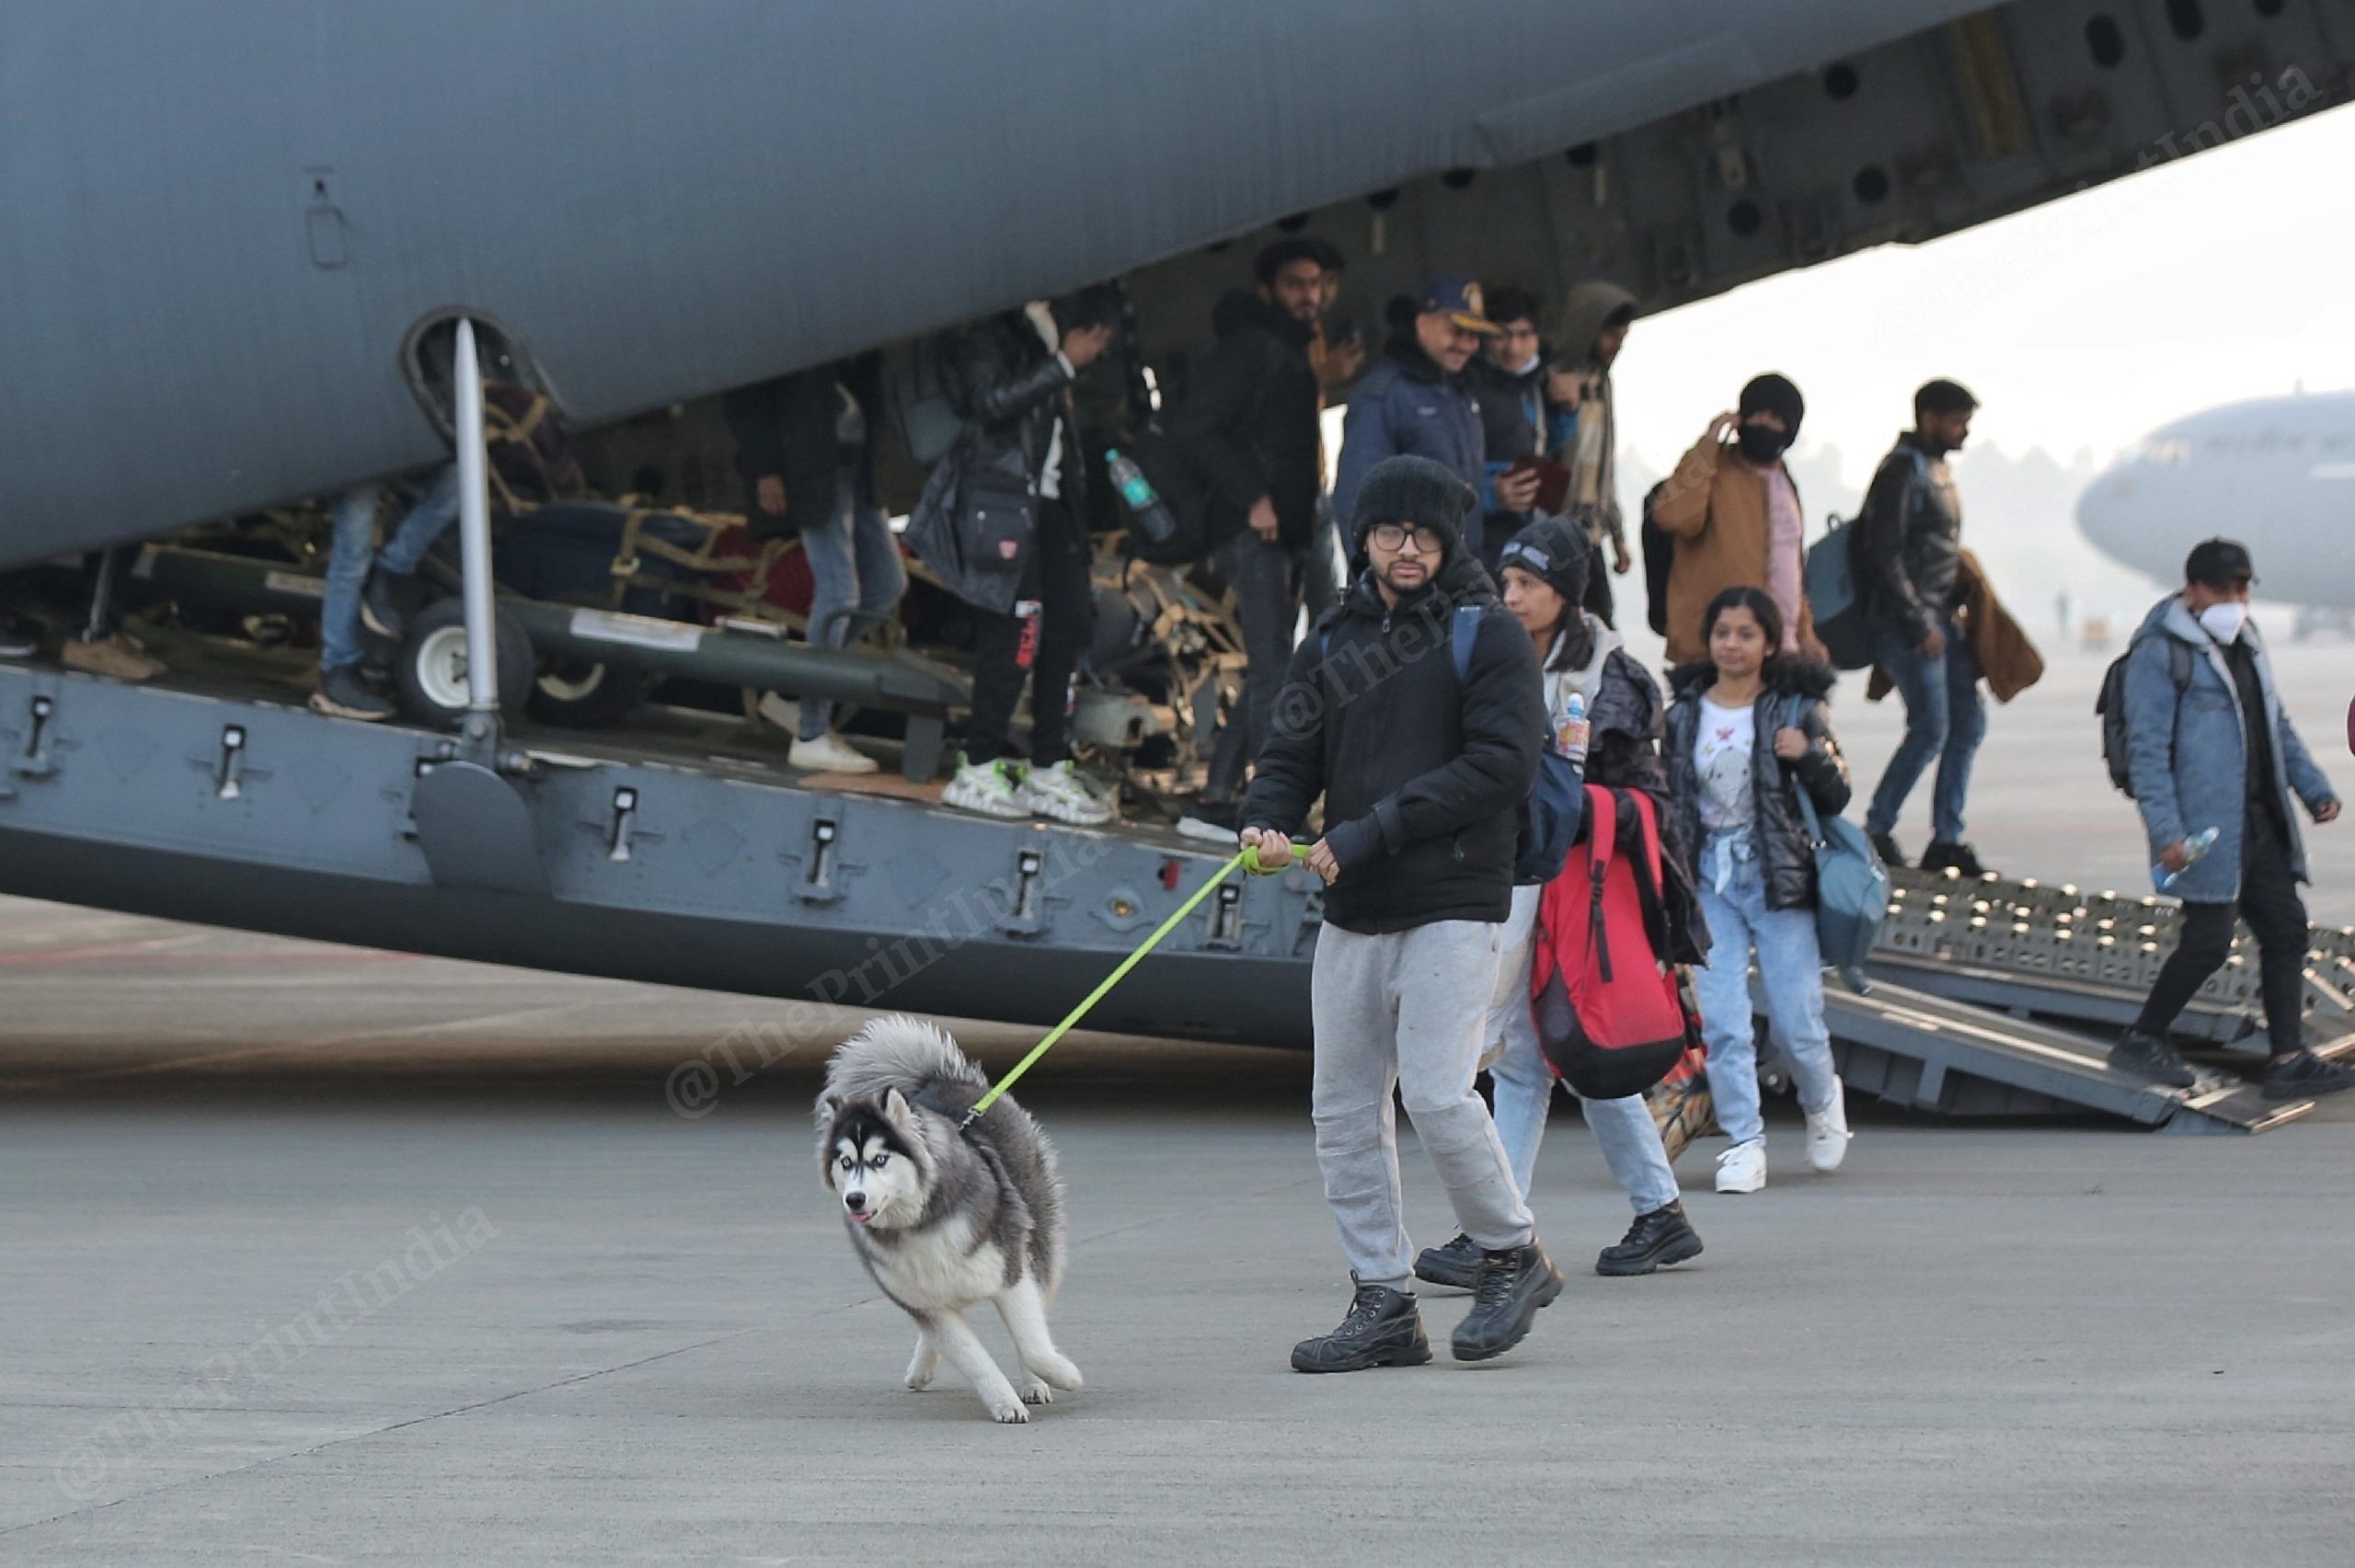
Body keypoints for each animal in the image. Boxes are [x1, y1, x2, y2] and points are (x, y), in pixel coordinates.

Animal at [819, 1012, 1083, 1413]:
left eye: (880, 1160)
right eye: (846, 1163)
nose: (855, 1199)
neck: (920, 1223)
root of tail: (943, 1081)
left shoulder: (1011, 1273)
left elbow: (1033, 1345)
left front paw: (1062, 1374)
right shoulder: (925, 1304)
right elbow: (971, 1356)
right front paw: (1003, 1403)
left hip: (1036, 1240)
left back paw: (1035, 1383)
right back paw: (921, 1368)